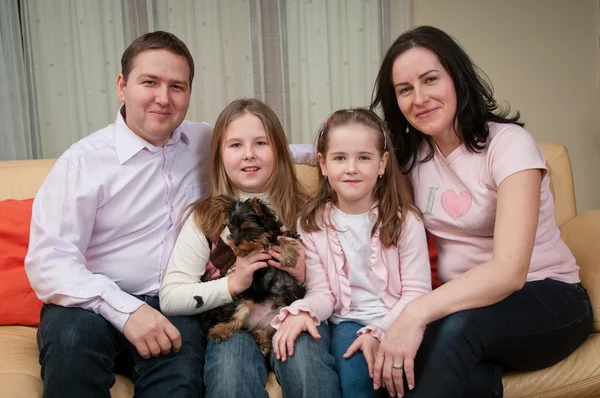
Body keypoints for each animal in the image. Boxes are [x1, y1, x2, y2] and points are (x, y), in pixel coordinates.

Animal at [195, 196, 304, 354]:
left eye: (247, 228)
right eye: (232, 228)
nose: (235, 243)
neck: (265, 240)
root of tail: (258, 322)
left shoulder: (287, 235)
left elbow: (283, 238)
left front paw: (289, 258)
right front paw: (241, 251)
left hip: (279, 314)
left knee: (263, 330)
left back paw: (264, 342)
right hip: (245, 301)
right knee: (236, 320)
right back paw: (219, 331)